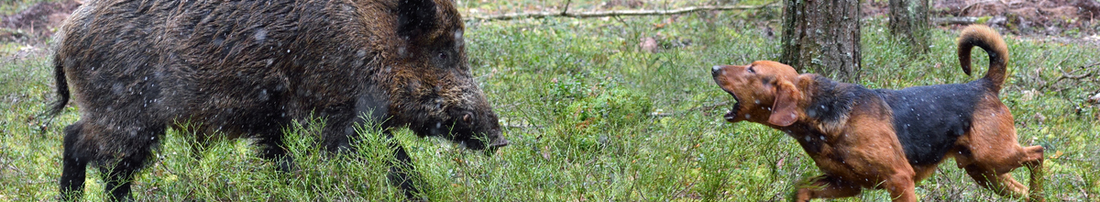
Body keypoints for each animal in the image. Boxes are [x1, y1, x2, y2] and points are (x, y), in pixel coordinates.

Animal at [708, 25, 1042, 202]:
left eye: (752, 70)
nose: (713, 68)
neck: (823, 113)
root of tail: (984, 84)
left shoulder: (900, 179)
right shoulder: (846, 184)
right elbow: (801, 188)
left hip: (994, 157)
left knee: (1038, 153)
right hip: (985, 172)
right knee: (1024, 189)